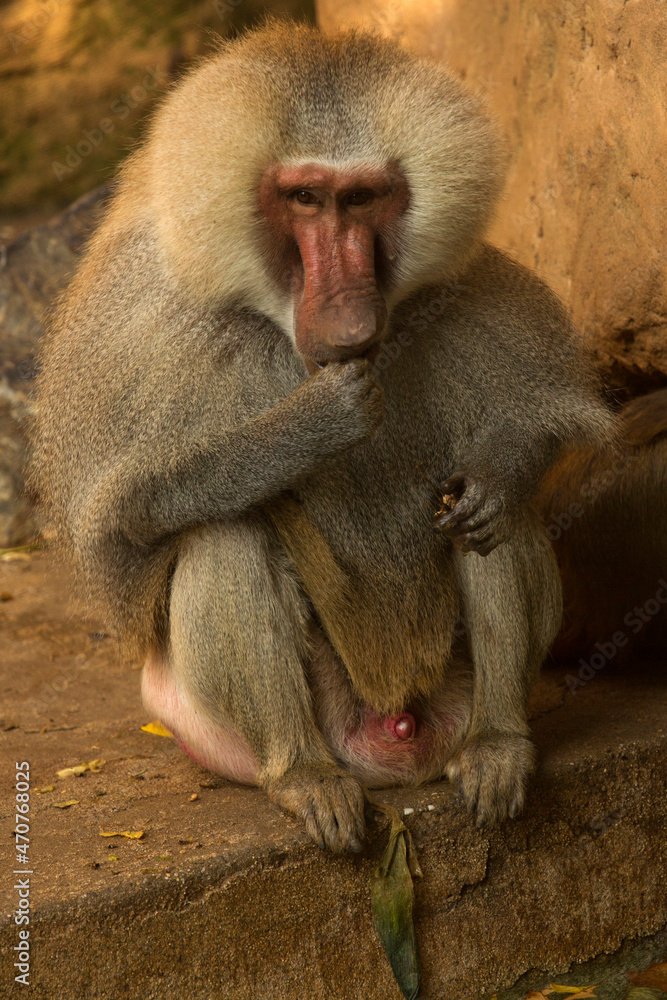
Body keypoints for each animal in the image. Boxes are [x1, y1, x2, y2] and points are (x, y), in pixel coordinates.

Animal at [29, 23, 616, 854]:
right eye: (303, 198)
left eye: (362, 198)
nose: (349, 318)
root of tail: (394, 733)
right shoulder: (137, 325)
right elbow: (121, 517)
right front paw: (310, 423)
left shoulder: (465, 285)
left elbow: (541, 424)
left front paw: (498, 469)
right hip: (226, 728)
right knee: (224, 532)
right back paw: (302, 777)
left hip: (450, 689)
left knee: (499, 522)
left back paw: (498, 747)